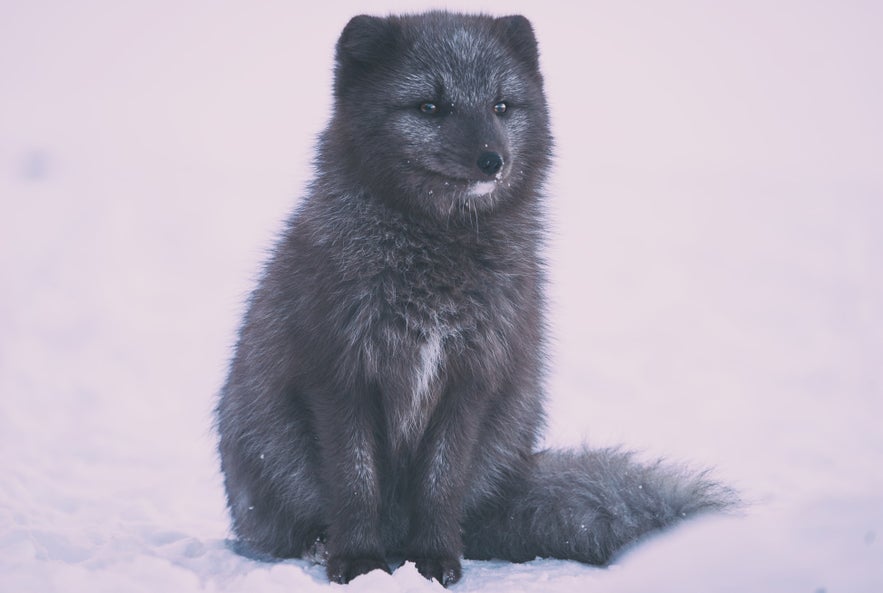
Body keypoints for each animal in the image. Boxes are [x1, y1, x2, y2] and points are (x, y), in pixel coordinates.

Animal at [216, 10, 740, 588]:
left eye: (500, 106)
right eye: (430, 106)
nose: (493, 160)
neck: (436, 264)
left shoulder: (472, 377)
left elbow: (442, 483)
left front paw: (437, 560)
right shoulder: (340, 374)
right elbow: (355, 482)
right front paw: (357, 561)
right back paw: (323, 547)